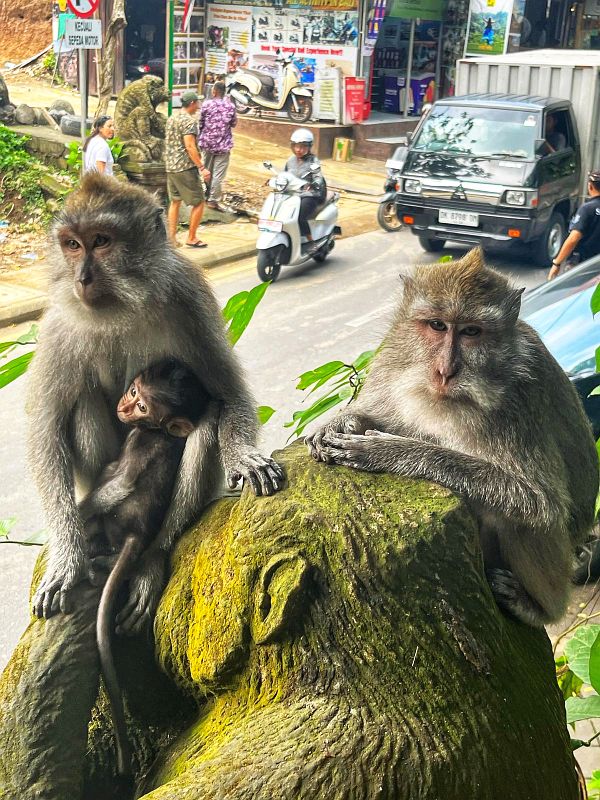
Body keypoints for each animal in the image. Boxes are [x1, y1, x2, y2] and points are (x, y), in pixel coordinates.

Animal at [27, 172, 285, 633]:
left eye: (101, 241)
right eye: (72, 245)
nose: (82, 278)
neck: (121, 303)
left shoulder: (189, 295)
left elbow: (229, 394)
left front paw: (242, 456)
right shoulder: (58, 323)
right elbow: (47, 430)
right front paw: (66, 558)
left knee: (207, 418)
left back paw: (150, 559)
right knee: (82, 401)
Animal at [78, 358, 209, 784]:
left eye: (142, 408)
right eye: (134, 391)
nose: (124, 406)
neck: (157, 433)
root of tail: (135, 532)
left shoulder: (139, 441)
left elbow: (120, 482)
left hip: (119, 520)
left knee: (112, 480)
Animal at [306, 249, 599, 627]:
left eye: (472, 331)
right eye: (437, 325)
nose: (445, 371)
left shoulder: (521, 396)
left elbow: (539, 501)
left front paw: (388, 451)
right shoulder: (392, 359)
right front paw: (341, 421)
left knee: (523, 522)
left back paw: (536, 609)